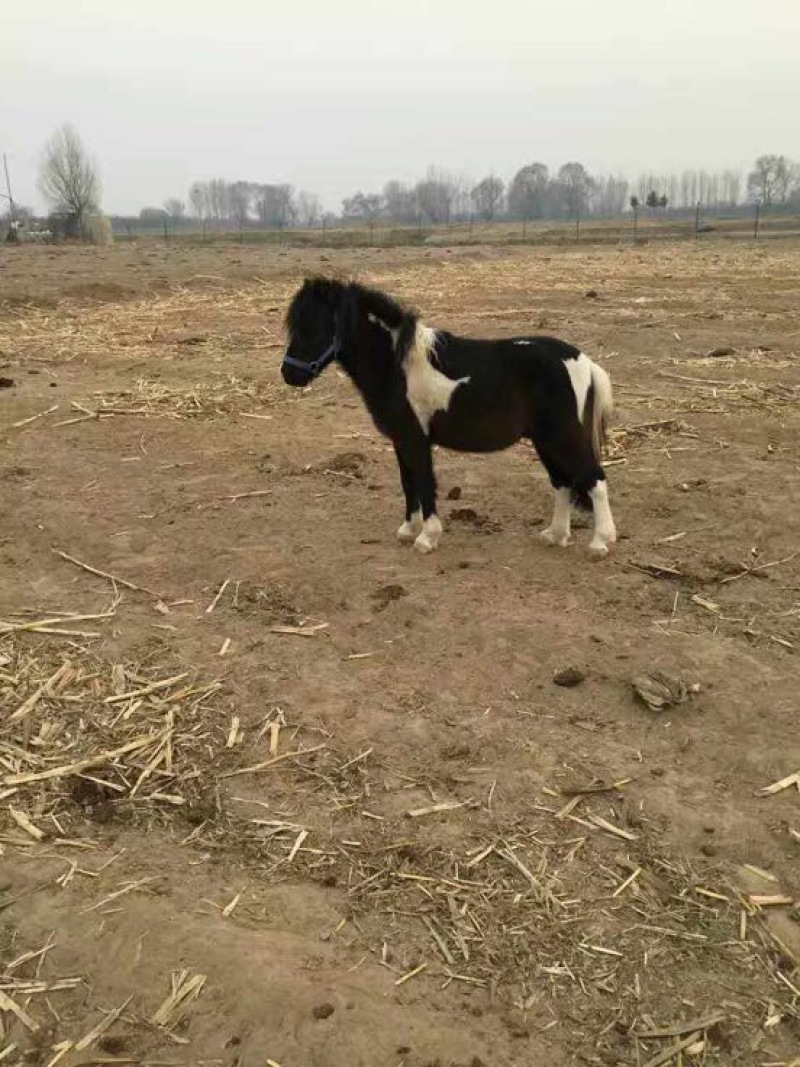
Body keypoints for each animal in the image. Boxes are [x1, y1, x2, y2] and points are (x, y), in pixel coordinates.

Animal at [282, 277, 617, 558]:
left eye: (317, 326)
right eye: (295, 325)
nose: (289, 374)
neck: (398, 366)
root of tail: (584, 361)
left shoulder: (417, 439)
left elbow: (425, 482)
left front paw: (427, 538)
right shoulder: (401, 440)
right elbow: (408, 482)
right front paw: (409, 529)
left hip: (563, 437)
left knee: (595, 480)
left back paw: (600, 543)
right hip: (545, 440)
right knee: (562, 483)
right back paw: (554, 535)